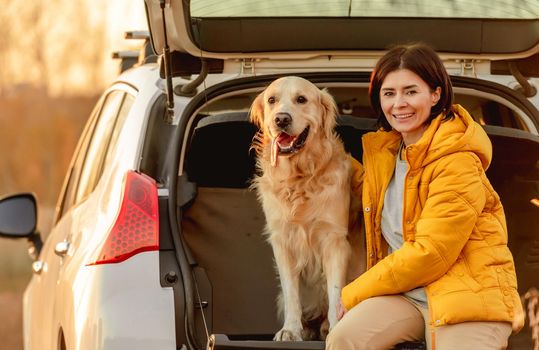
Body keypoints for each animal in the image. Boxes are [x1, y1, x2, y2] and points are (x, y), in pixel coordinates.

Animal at [250, 76, 362, 342]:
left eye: (301, 99)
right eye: (272, 100)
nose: (281, 119)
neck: (299, 178)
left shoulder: (334, 240)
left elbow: (335, 292)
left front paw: (335, 328)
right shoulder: (283, 242)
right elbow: (292, 294)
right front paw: (291, 330)